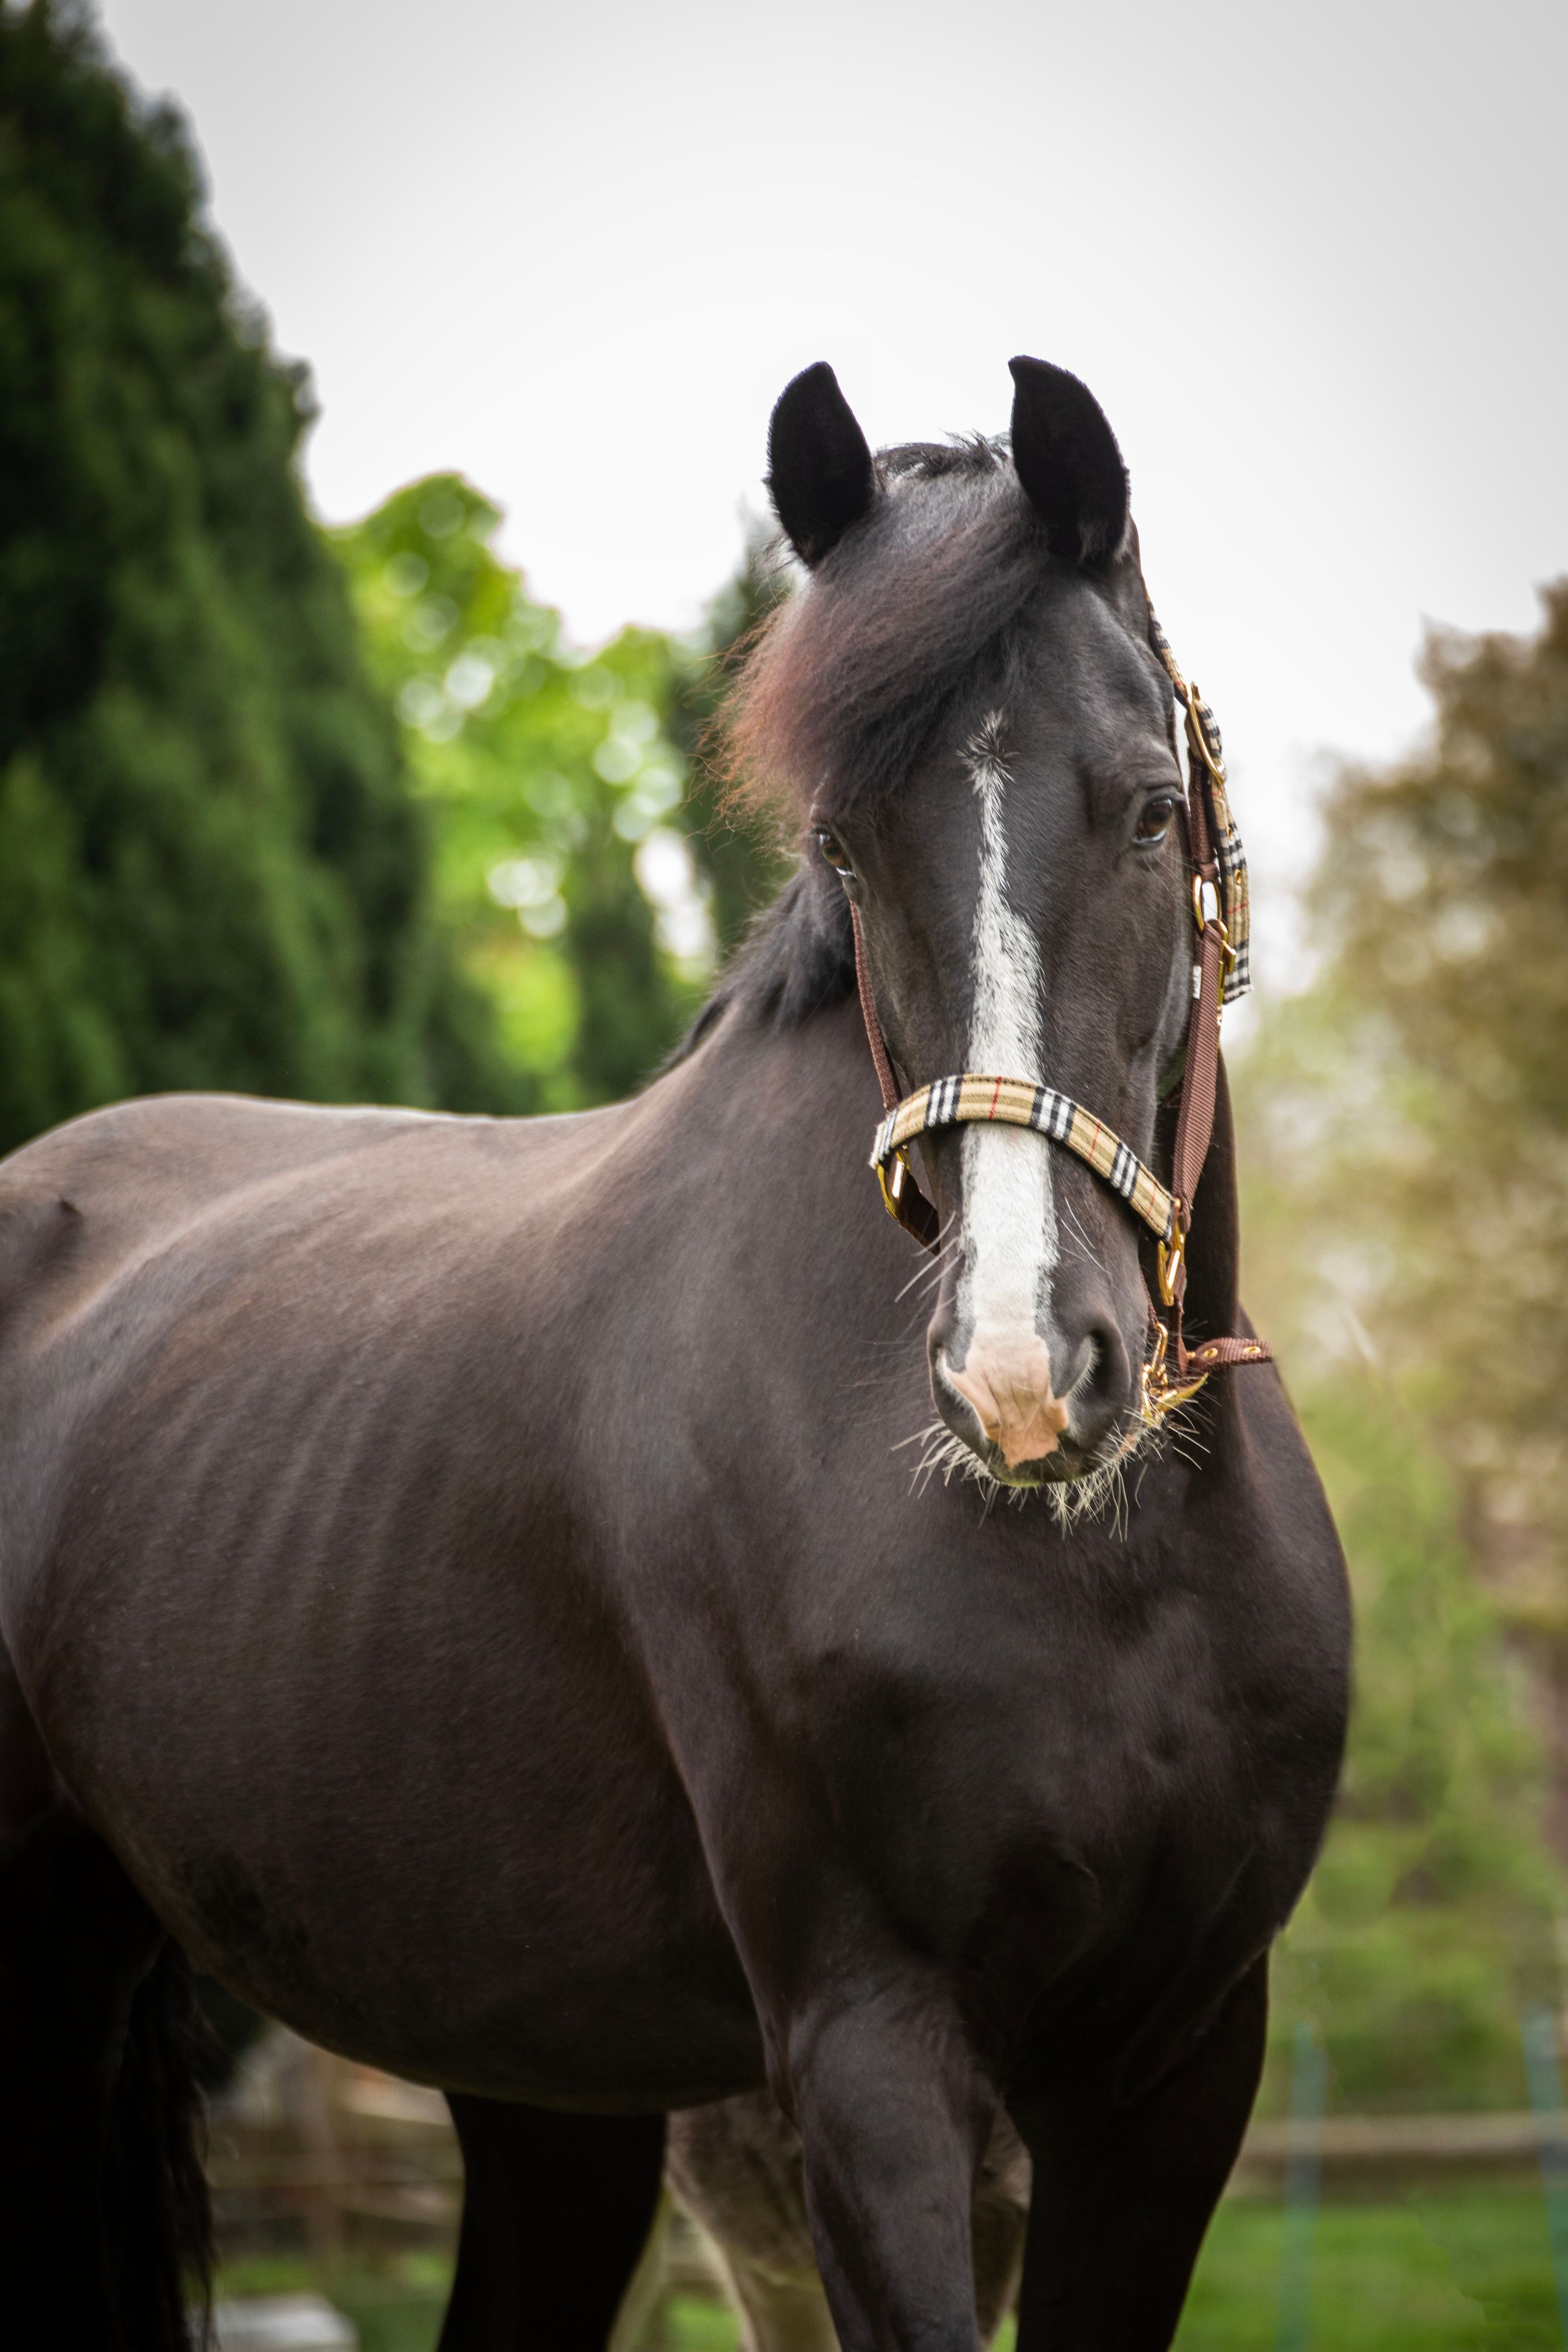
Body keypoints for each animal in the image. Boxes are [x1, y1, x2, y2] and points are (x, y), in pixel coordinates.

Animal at [0, 355, 1349, 2352]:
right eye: (844, 846)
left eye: (1147, 811)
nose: (1025, 1373)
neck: (1111, 1581)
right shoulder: (866, 2060)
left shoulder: (1174, 2075)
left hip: (530, 2077)